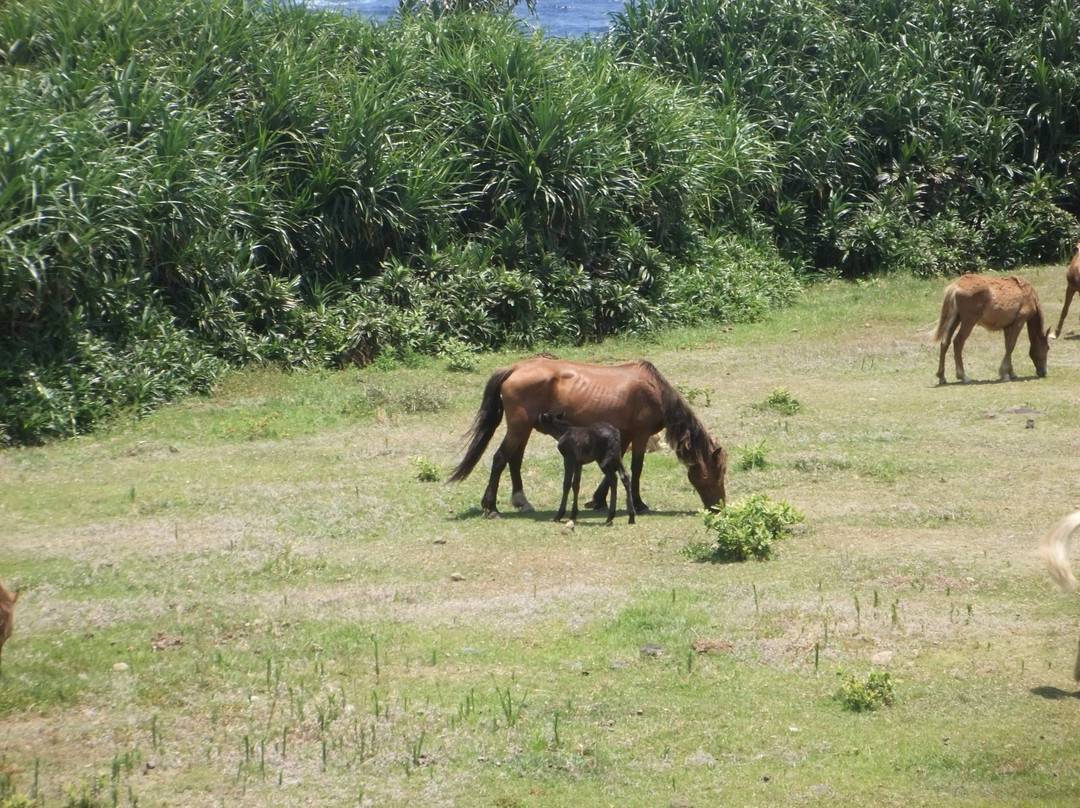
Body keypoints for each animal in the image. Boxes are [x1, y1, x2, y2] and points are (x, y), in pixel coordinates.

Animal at [447, 358, 725, 518]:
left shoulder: (623, 435)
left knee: (514, 461)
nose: (718, 506)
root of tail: (515, 368)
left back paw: (521, 501)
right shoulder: (640, 435)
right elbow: (636, 469)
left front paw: (598, 500)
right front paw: (639, 504)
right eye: (717, 474)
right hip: (518, 427)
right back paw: (492, 508)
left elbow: (617, 467)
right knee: (500, 459)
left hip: (523, 429)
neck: (655, 392)